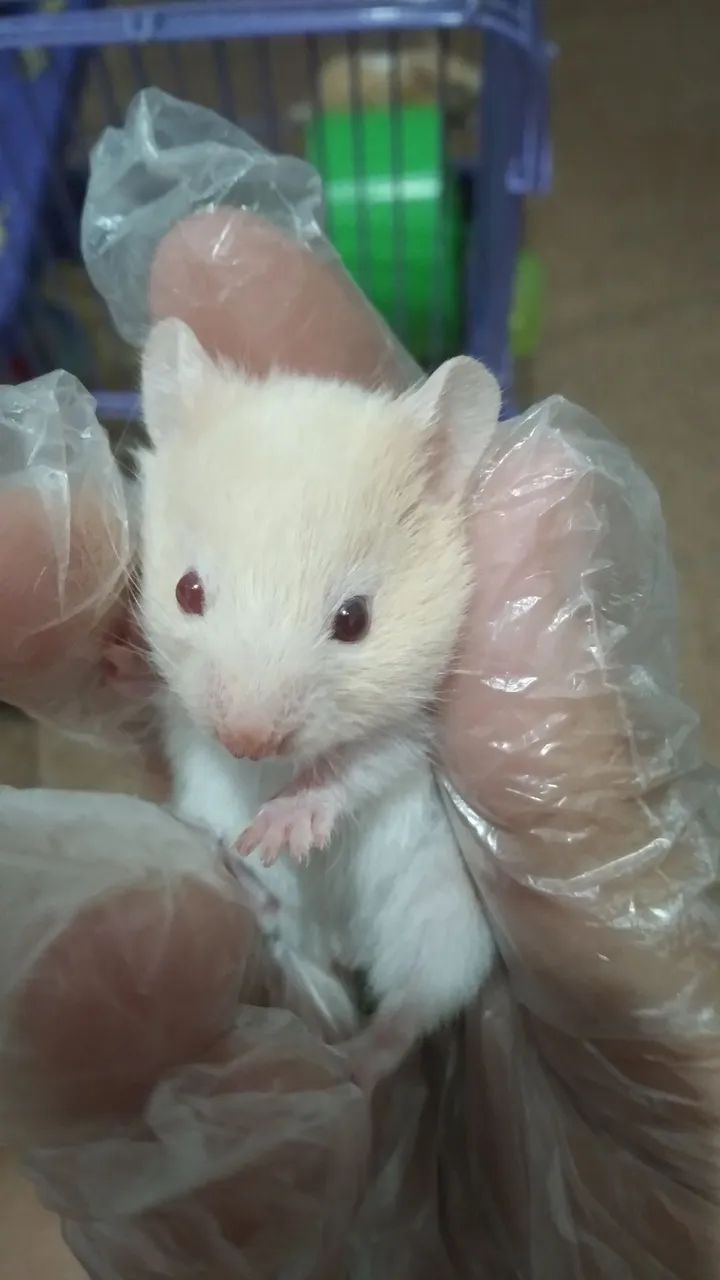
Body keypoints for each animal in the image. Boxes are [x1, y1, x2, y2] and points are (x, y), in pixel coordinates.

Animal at [137, 317, 498, 1085]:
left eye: (355, 620)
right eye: (186, 590)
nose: (245, 742)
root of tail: (343, 941)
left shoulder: (413, 728)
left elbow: (356, 765)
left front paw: (281, 829)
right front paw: (250, 839)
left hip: (445, 919)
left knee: (410, 1010)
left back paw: (345, 1065)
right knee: (286, 936)